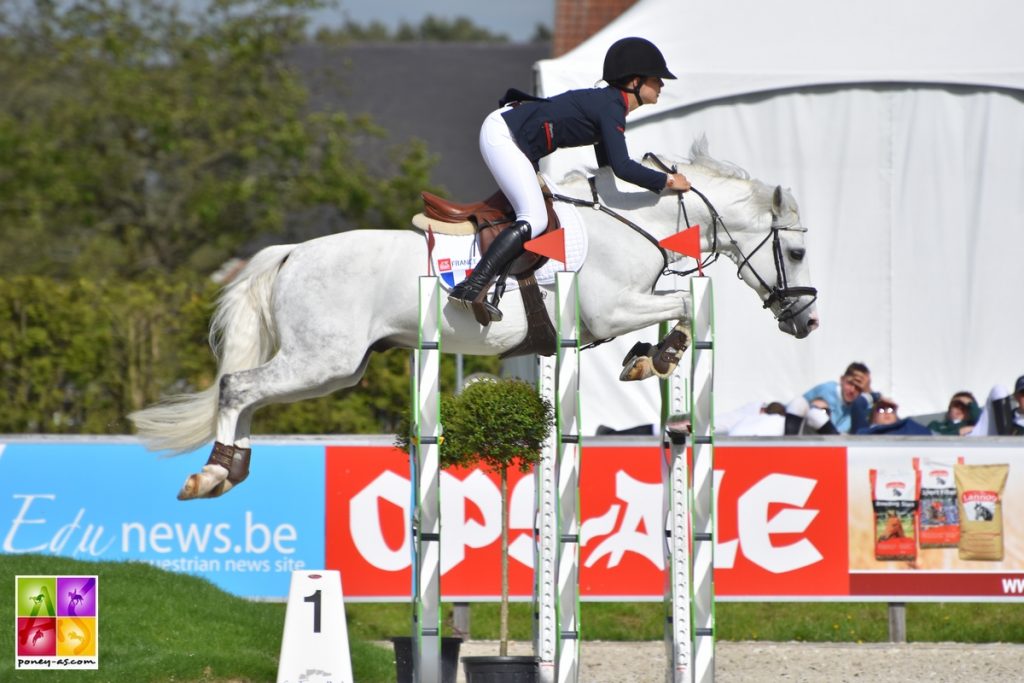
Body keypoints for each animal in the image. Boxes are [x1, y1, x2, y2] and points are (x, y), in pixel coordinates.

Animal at [130, 141, 815, 499]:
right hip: (322, 361)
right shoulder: (610, 307)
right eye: (801, 252)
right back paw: (214, 472)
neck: (635, 221)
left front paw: (644, 359)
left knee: (249, 393)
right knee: (237, 386)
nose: (804, 323)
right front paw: (661, 354)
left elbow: (671, 305)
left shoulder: (616, 311)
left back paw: (231, 469)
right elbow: (682, 304)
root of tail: (292, 253)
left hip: (334, 369)